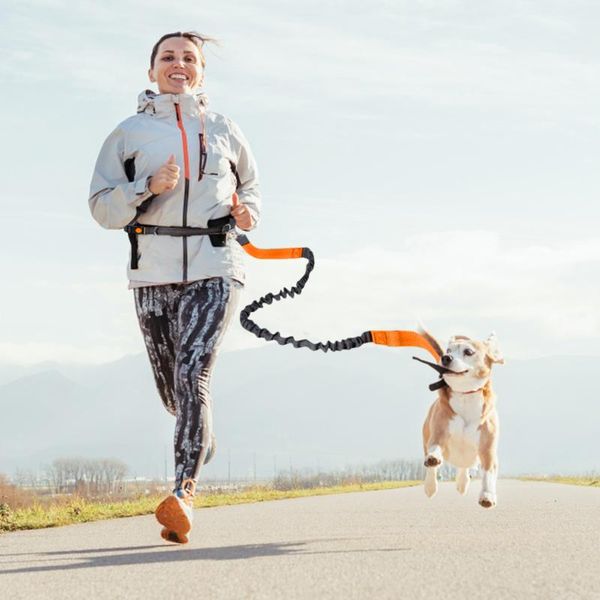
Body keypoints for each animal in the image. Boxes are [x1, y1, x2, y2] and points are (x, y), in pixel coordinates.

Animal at [420, 330, 504, 508]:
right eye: (448, 350)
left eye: (468, 352)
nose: (445, 357)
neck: (465, 395)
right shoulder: (439, 433)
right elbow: (434, 449)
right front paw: (433, 459)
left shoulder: (487, 448)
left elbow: (488, 473)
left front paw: (487, 496)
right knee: (431, 469)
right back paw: (430, 486)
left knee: (465, 467)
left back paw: (462, 482)